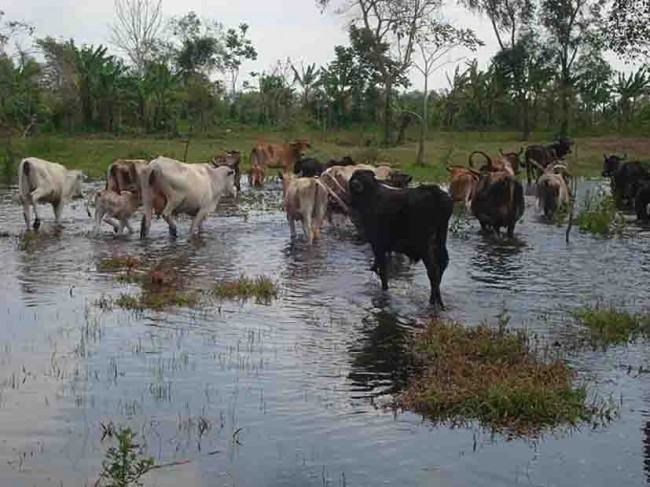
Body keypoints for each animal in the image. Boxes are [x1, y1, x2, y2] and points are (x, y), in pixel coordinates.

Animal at [344, 170, 450, 310]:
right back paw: (436, 301)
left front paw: (384, 291)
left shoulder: (378, 244)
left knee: (433, 271)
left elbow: (383, 271)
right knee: (442, 265)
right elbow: (377, 266)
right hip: (440, 240)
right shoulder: (384, 247)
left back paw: (435, 303)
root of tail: (434, 191)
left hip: (425, 245)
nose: (348, 202)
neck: (372, 195)